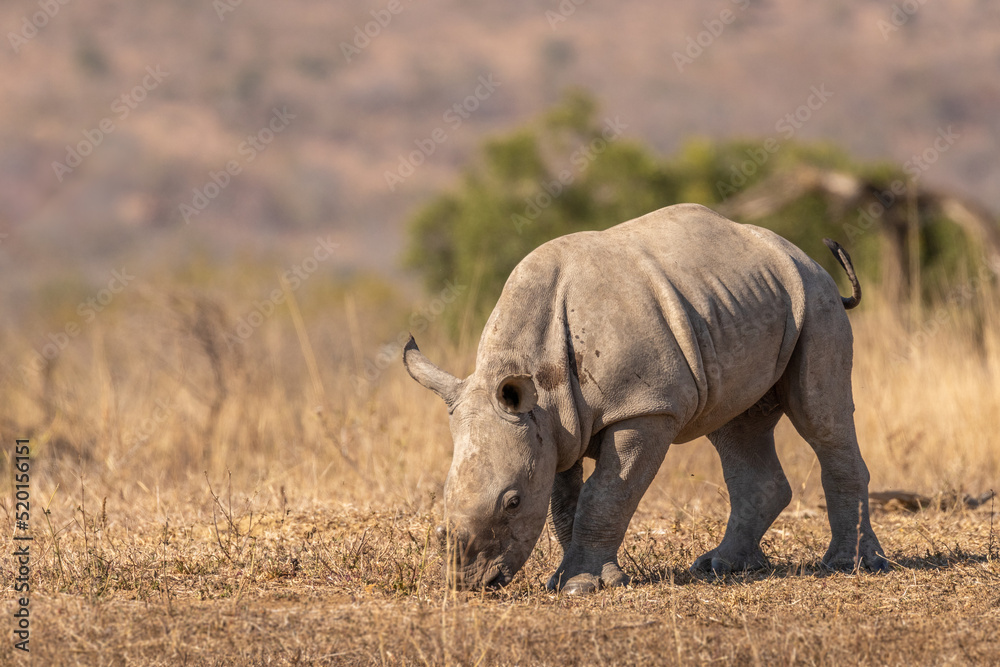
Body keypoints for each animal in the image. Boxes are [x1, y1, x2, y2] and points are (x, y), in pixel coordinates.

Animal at [404, 203, 888, 594]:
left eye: (513, 502)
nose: (469, 583)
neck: (538, 380)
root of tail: (802, 255)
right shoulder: (555, 425)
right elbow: (565, 505)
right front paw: (568, 580)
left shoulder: (644, 407)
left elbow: (605, 495)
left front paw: (581, 586)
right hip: (742, 301)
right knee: (735, 427)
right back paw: (721, 567)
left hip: (815, 300)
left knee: (820, 417)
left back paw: (849, 565)